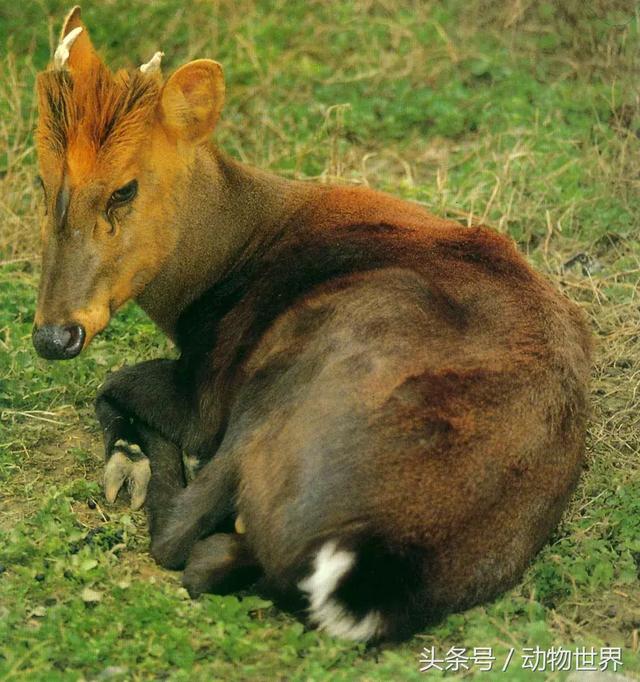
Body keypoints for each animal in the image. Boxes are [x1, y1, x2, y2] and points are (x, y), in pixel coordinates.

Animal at [32, 7, 592, 640]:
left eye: (125, 188)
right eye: (42, 180)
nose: (54, 335)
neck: (227, 257)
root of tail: (365, 562)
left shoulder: (207, 389)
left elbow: (115, 384)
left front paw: (127, 464)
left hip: (291, 377)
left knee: (180, 535)